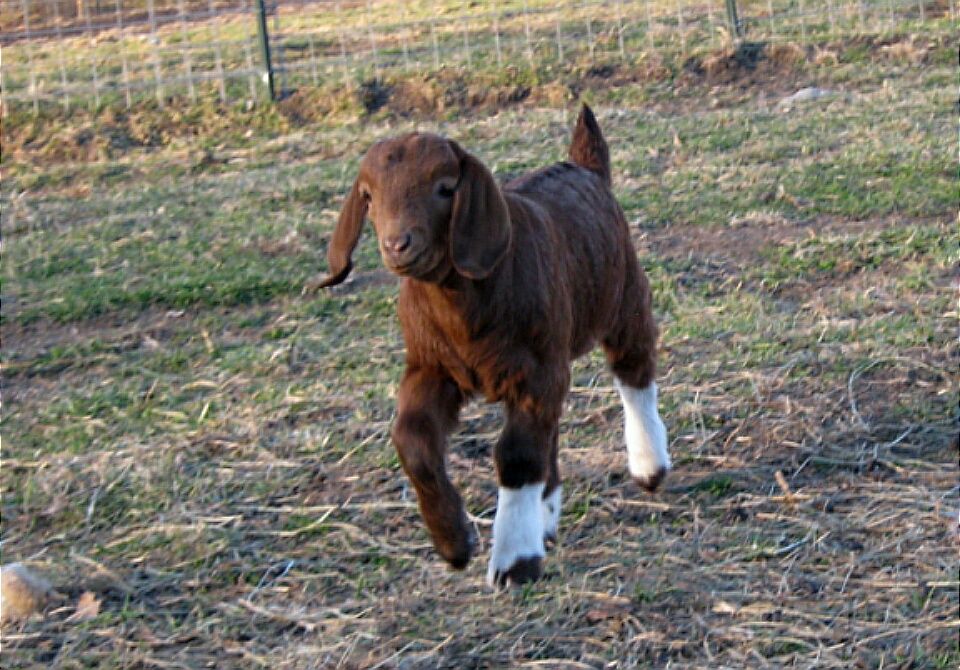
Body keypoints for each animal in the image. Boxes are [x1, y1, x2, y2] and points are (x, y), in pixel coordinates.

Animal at [319, 105, 669, 587]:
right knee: (553, 427)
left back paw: (649, 465)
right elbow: (412, 440)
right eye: (368, 196)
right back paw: (546, 515)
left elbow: (516, 455)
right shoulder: (432, 367)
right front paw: (454, 543)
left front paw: (514, 561)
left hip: (623, 296)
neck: (462, 302)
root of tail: (585, 167)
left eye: (445, 188)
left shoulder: (535, 370)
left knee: (634, 371)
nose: (397, 244)